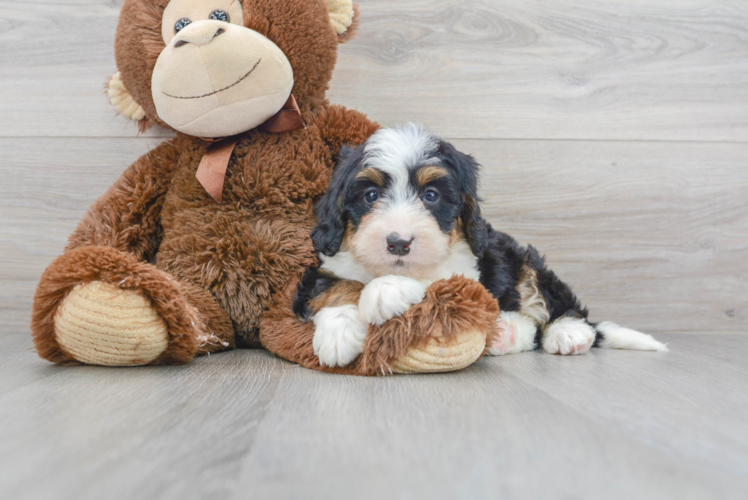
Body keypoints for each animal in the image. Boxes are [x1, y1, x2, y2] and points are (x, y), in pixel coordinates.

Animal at [292, 124, 668, 368]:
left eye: (431, 195)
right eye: (370, 196)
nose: (398, 243)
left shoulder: (467, 271)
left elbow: (435, 282)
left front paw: (385, 291)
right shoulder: (321, 268)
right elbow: (336, 285)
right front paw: (338, 330)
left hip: (526, 259)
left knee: (563, 306)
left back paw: (568, 333)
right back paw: (507, 333)